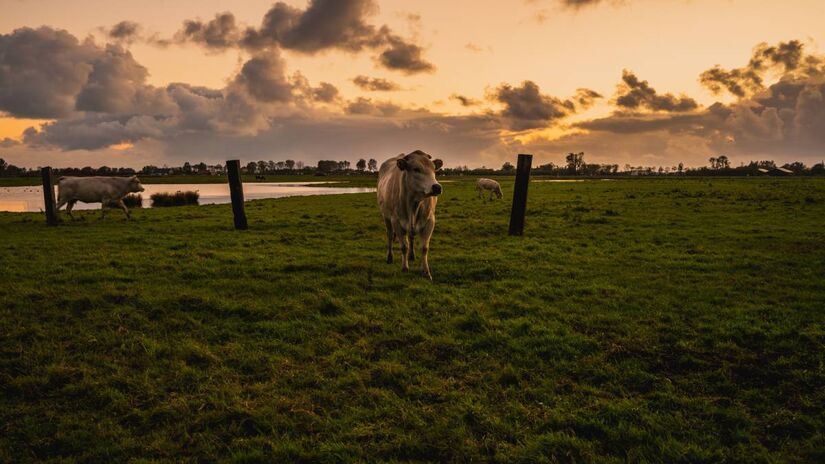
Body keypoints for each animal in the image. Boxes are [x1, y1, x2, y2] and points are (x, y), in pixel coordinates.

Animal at [377, 150, 444, 280]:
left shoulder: (430, 221)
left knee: (411, 237)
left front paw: (426, 272)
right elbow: (404, 247)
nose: (437, 187)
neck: (414, 204)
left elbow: (424, 248)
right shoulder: (396, 221)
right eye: (416, 169)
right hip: (386, 217)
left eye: (434, 169)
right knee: (390, 236)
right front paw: (404, 268)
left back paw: (412, 256)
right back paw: (390, 257)